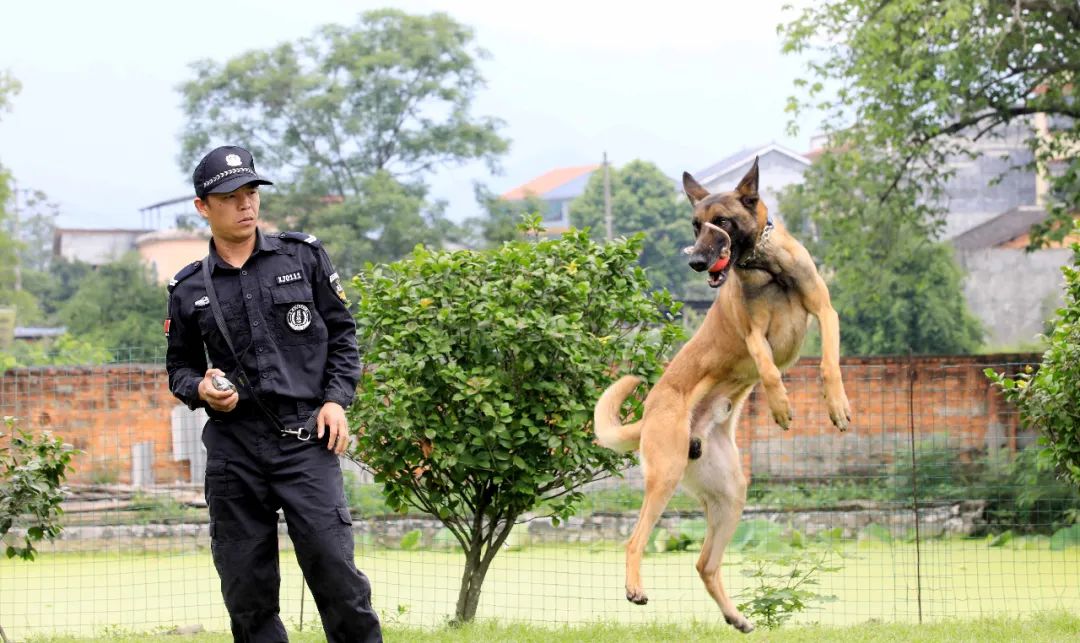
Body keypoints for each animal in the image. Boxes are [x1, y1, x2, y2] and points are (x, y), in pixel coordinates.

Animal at [596, 157, 846, 635]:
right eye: (695, 225)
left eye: (723, 222)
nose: (695, 261)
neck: (766, 267)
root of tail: (651, 412)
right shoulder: (752, 335)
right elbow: (767, 367)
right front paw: (781, 405)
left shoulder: (824, 310)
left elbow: (828, 362)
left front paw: (837, 406)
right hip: (666, 475)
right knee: (634, 541)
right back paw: (634, 589)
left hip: (731, 494)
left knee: (704, 563)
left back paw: (736, 617)